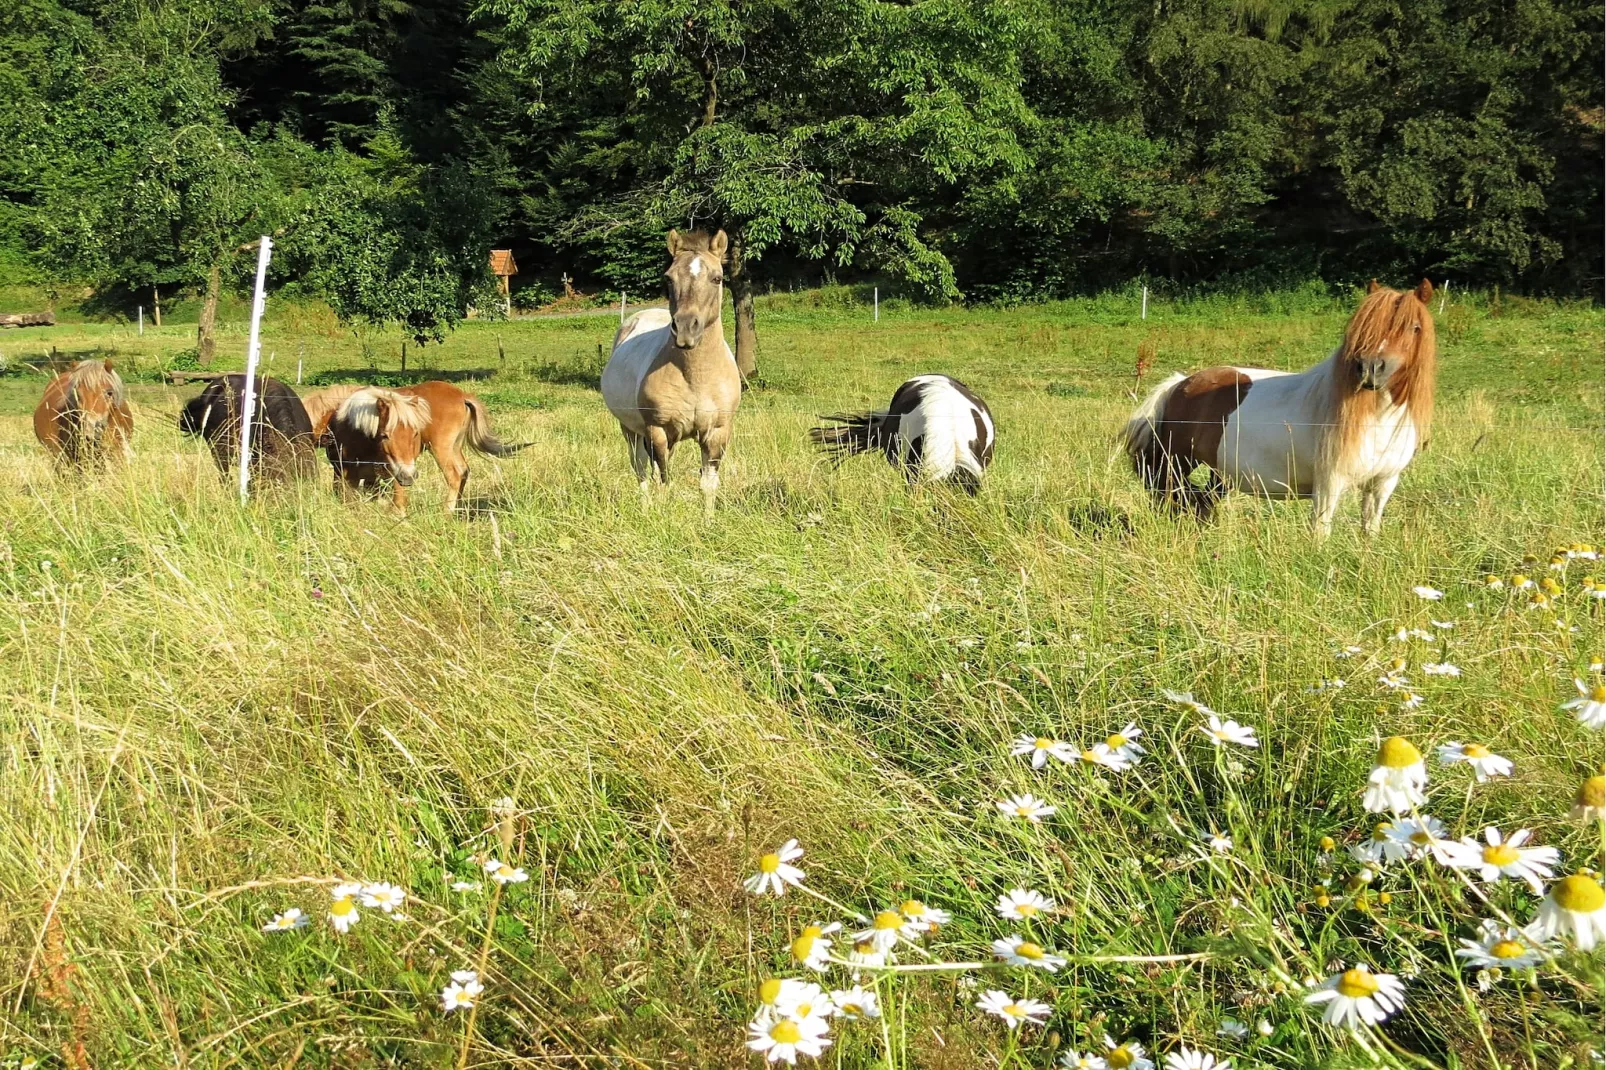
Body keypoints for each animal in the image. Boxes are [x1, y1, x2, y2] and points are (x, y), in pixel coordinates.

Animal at [321, 379, 526, 517]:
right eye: (385, 435)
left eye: (415, 433)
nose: (409, 476)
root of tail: (462, 396)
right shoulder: (351, 475)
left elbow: (398, 499)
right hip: (453, 447)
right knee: (464, 471)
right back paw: (458, 508)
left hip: (441, 448)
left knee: (454, 475)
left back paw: (446, 513)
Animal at [603, 226, 738, 514]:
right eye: (669, 278)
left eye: (717, 278)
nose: (686, 328)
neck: (697, 378)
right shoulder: (659, 431)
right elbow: (665, 482)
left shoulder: (717, 433)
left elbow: (708, 485)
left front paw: (708, 521)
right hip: (631, 430)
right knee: (641, 470)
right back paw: (645, 510)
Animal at [1124, 279, 1438, 536]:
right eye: (1365, 327)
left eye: (1415, 327)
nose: (1370, 369)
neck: (1378, 420)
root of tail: (1180, 383)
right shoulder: (1329, 485)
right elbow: (1320, 533)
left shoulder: (1382, 484)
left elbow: (1369, 530)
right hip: (1175, 463)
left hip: (1218, 472)